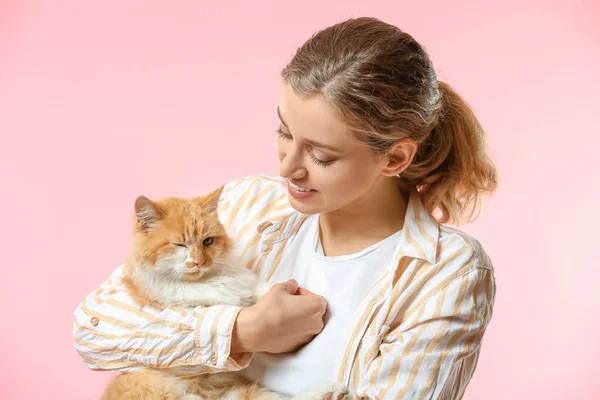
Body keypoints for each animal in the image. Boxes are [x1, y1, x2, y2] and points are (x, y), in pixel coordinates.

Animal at [101, 188, 350, 400]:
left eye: (207, 241)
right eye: (180, 245)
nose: (199, 262)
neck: (205, 280)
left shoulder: (241, 282)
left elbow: (256, 288)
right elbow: (220, 308)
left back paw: (333, 391)